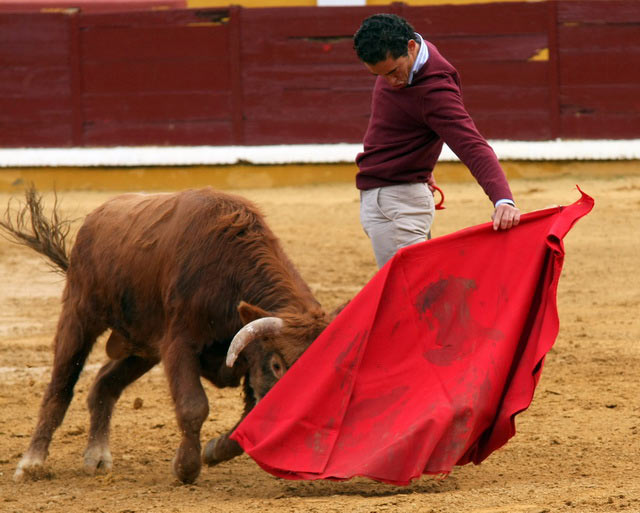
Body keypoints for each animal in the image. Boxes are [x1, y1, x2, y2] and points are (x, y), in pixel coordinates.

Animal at [3, 186, 336, 482]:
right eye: (278, 365)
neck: (227, 272)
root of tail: (95, 218)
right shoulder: (179, 343)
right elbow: (193, 406)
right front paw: (186, 469)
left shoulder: (243, 360)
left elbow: (250, 414)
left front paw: (213, 450)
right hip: (79, 316)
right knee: (60, 388)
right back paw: (31, 464)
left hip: (142, 347)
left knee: (104, 385)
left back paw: (96, 456)